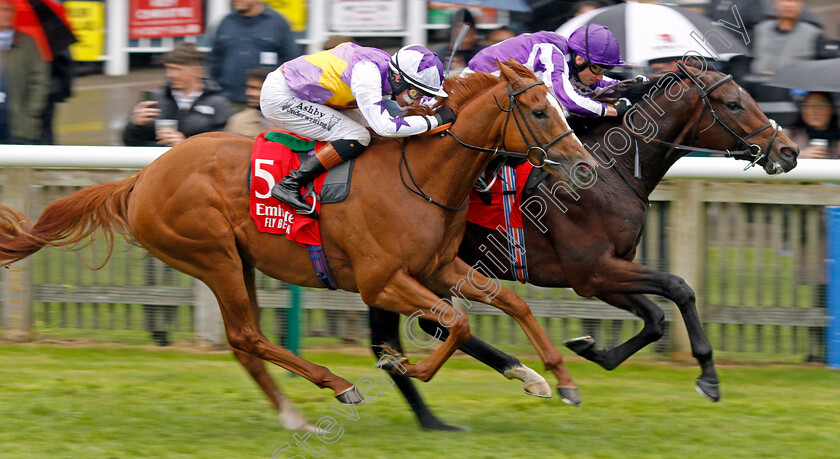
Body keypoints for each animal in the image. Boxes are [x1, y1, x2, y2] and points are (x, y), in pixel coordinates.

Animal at [0, 61, 596, 428]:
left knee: (246, 343)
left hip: (237, 262)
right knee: (245, 335)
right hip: (213, 256)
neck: (421, 175)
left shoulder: (438, 267)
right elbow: (458, 322)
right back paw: (337, 386)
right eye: (539, 111)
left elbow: (509, 302)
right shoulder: (381, 281)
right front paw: (406, 368)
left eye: (558, 106)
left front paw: (555, 379)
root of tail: (143, 177)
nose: (585, 164)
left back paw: (295, 414)